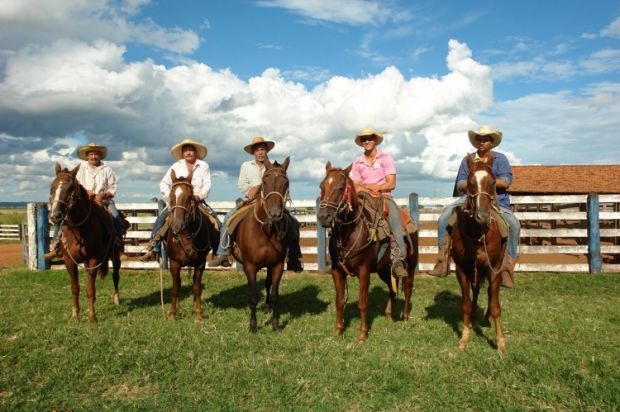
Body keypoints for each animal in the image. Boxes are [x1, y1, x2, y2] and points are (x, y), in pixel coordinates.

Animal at [49, 163, 121, 324]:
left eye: (70, 188)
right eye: (52, 187)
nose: (55, 216)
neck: (79, 229)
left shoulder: (93, 260)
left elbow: (90, 290)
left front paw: (92, 316)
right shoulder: (69, 261)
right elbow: (75, 288)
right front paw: (75, 314)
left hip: (116, 257)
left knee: (116, 276)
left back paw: (117, 300)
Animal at [165, 168, 220, 322]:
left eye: (189, 196)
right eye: (171, 196)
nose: (177, 225)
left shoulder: (200, 264)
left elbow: (197, 288)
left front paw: (198, 314)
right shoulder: (174, 263)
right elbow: (175, 288)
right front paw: (172, 314)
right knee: (178, 283)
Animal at [230, 156, 294, 334]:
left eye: (286, 182)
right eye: (264, 182)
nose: (275, 214)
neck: (265, 231)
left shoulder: (278, 265)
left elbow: (275, 295)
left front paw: (275, 324)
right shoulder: (250, 267)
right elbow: (253, 297)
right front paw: (253, 326)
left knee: (267, 283)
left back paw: (267, 308)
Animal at [318, 161, 418, 342]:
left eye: (341, 187)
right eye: (321, 186)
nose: (323, 218)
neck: (349, 232)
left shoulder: (364, 271)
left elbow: (363, 303)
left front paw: (362, 334)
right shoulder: (337, 271)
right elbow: (340, 301)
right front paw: (338, 330)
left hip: (411, 266)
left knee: (407, 288)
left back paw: (405, 316)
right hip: (384, 269)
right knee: (392, 288)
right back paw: (388, 315)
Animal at [450, 154, 508, 354]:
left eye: (493, 181)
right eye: (469, 182)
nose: (481, 216)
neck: (477, 234)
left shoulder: (495, 267)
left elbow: (496, 305)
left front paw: (500, 344)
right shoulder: (461, 269)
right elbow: (466, 304)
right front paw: (464, 338)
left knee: (491, 293)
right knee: (476, 291)